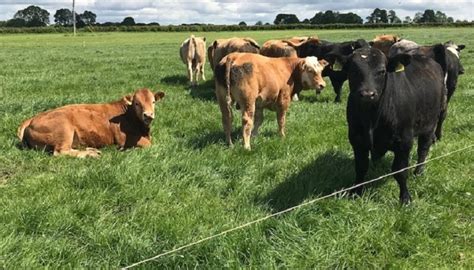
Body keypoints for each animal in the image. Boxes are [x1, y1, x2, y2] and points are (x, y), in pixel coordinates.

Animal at [17, 87, 166, 157]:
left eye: (153, 101)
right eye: (136, 103)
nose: (148, 115)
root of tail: (31, 119)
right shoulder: (123, 139)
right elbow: (149, 145)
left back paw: (92, 149)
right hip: (64, 129)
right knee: (61, 152)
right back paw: (91, 154)